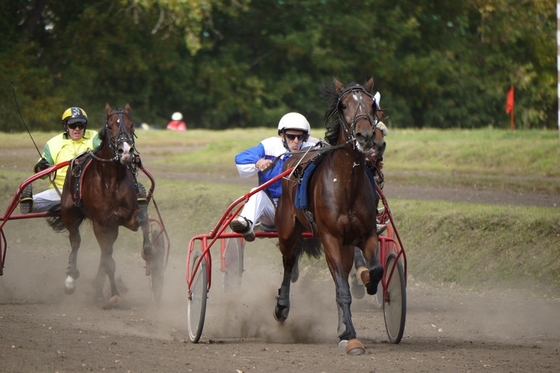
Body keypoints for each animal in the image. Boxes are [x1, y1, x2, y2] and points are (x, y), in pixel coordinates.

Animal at [47, 102, 151, 306]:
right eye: (110, 126)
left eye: (132, 125)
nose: (126, 151)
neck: (112, 180)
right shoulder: (99, 223)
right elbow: (108, 260)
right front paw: (114, 294)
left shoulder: (125, 219)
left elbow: (143, 217)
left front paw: (148, 251)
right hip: (69, 212)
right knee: (76, 241)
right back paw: (71, 279)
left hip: (112, 227)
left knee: (105, 251)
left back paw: (97, 288)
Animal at [274, 77, 384, 354]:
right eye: (343, 105)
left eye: (372, 104)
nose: (365, 135)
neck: (346, 183)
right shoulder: (330, 238)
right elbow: (342, 290)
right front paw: (351, 337)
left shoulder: (366, 234)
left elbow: (375, 270)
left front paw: (367, 281)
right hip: (287, 231)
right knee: (289, 264)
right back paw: (281, 307)